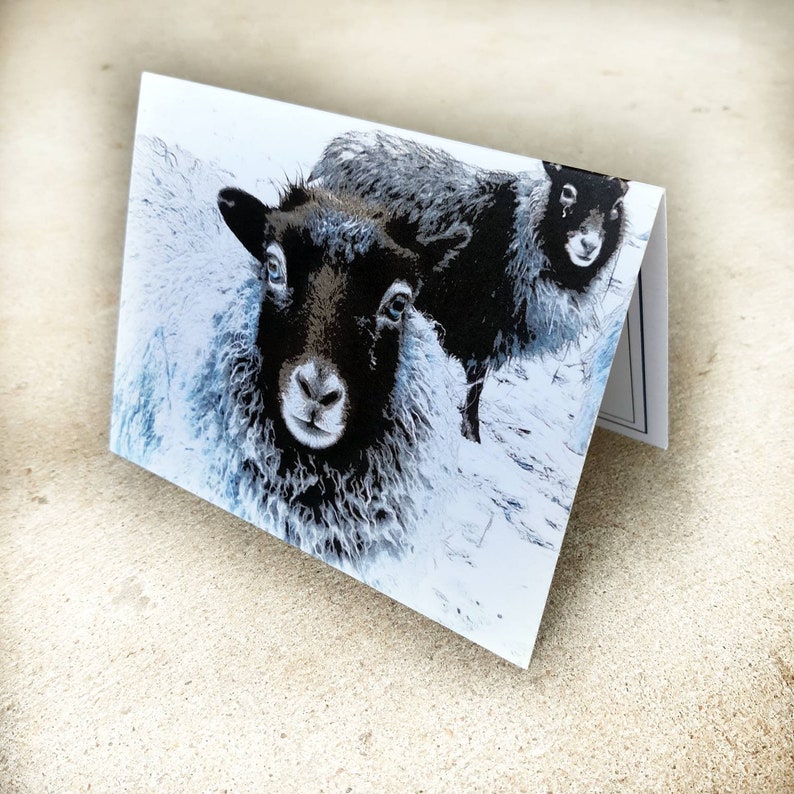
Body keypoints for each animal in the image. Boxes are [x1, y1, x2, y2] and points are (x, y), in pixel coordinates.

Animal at [310, 130, 629, 442]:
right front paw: (471, 431)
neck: (524, 231)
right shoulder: (483, 327)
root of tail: (340, 148)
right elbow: (477, 382)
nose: (589, 244)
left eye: (616, 207)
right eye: (567, 192)